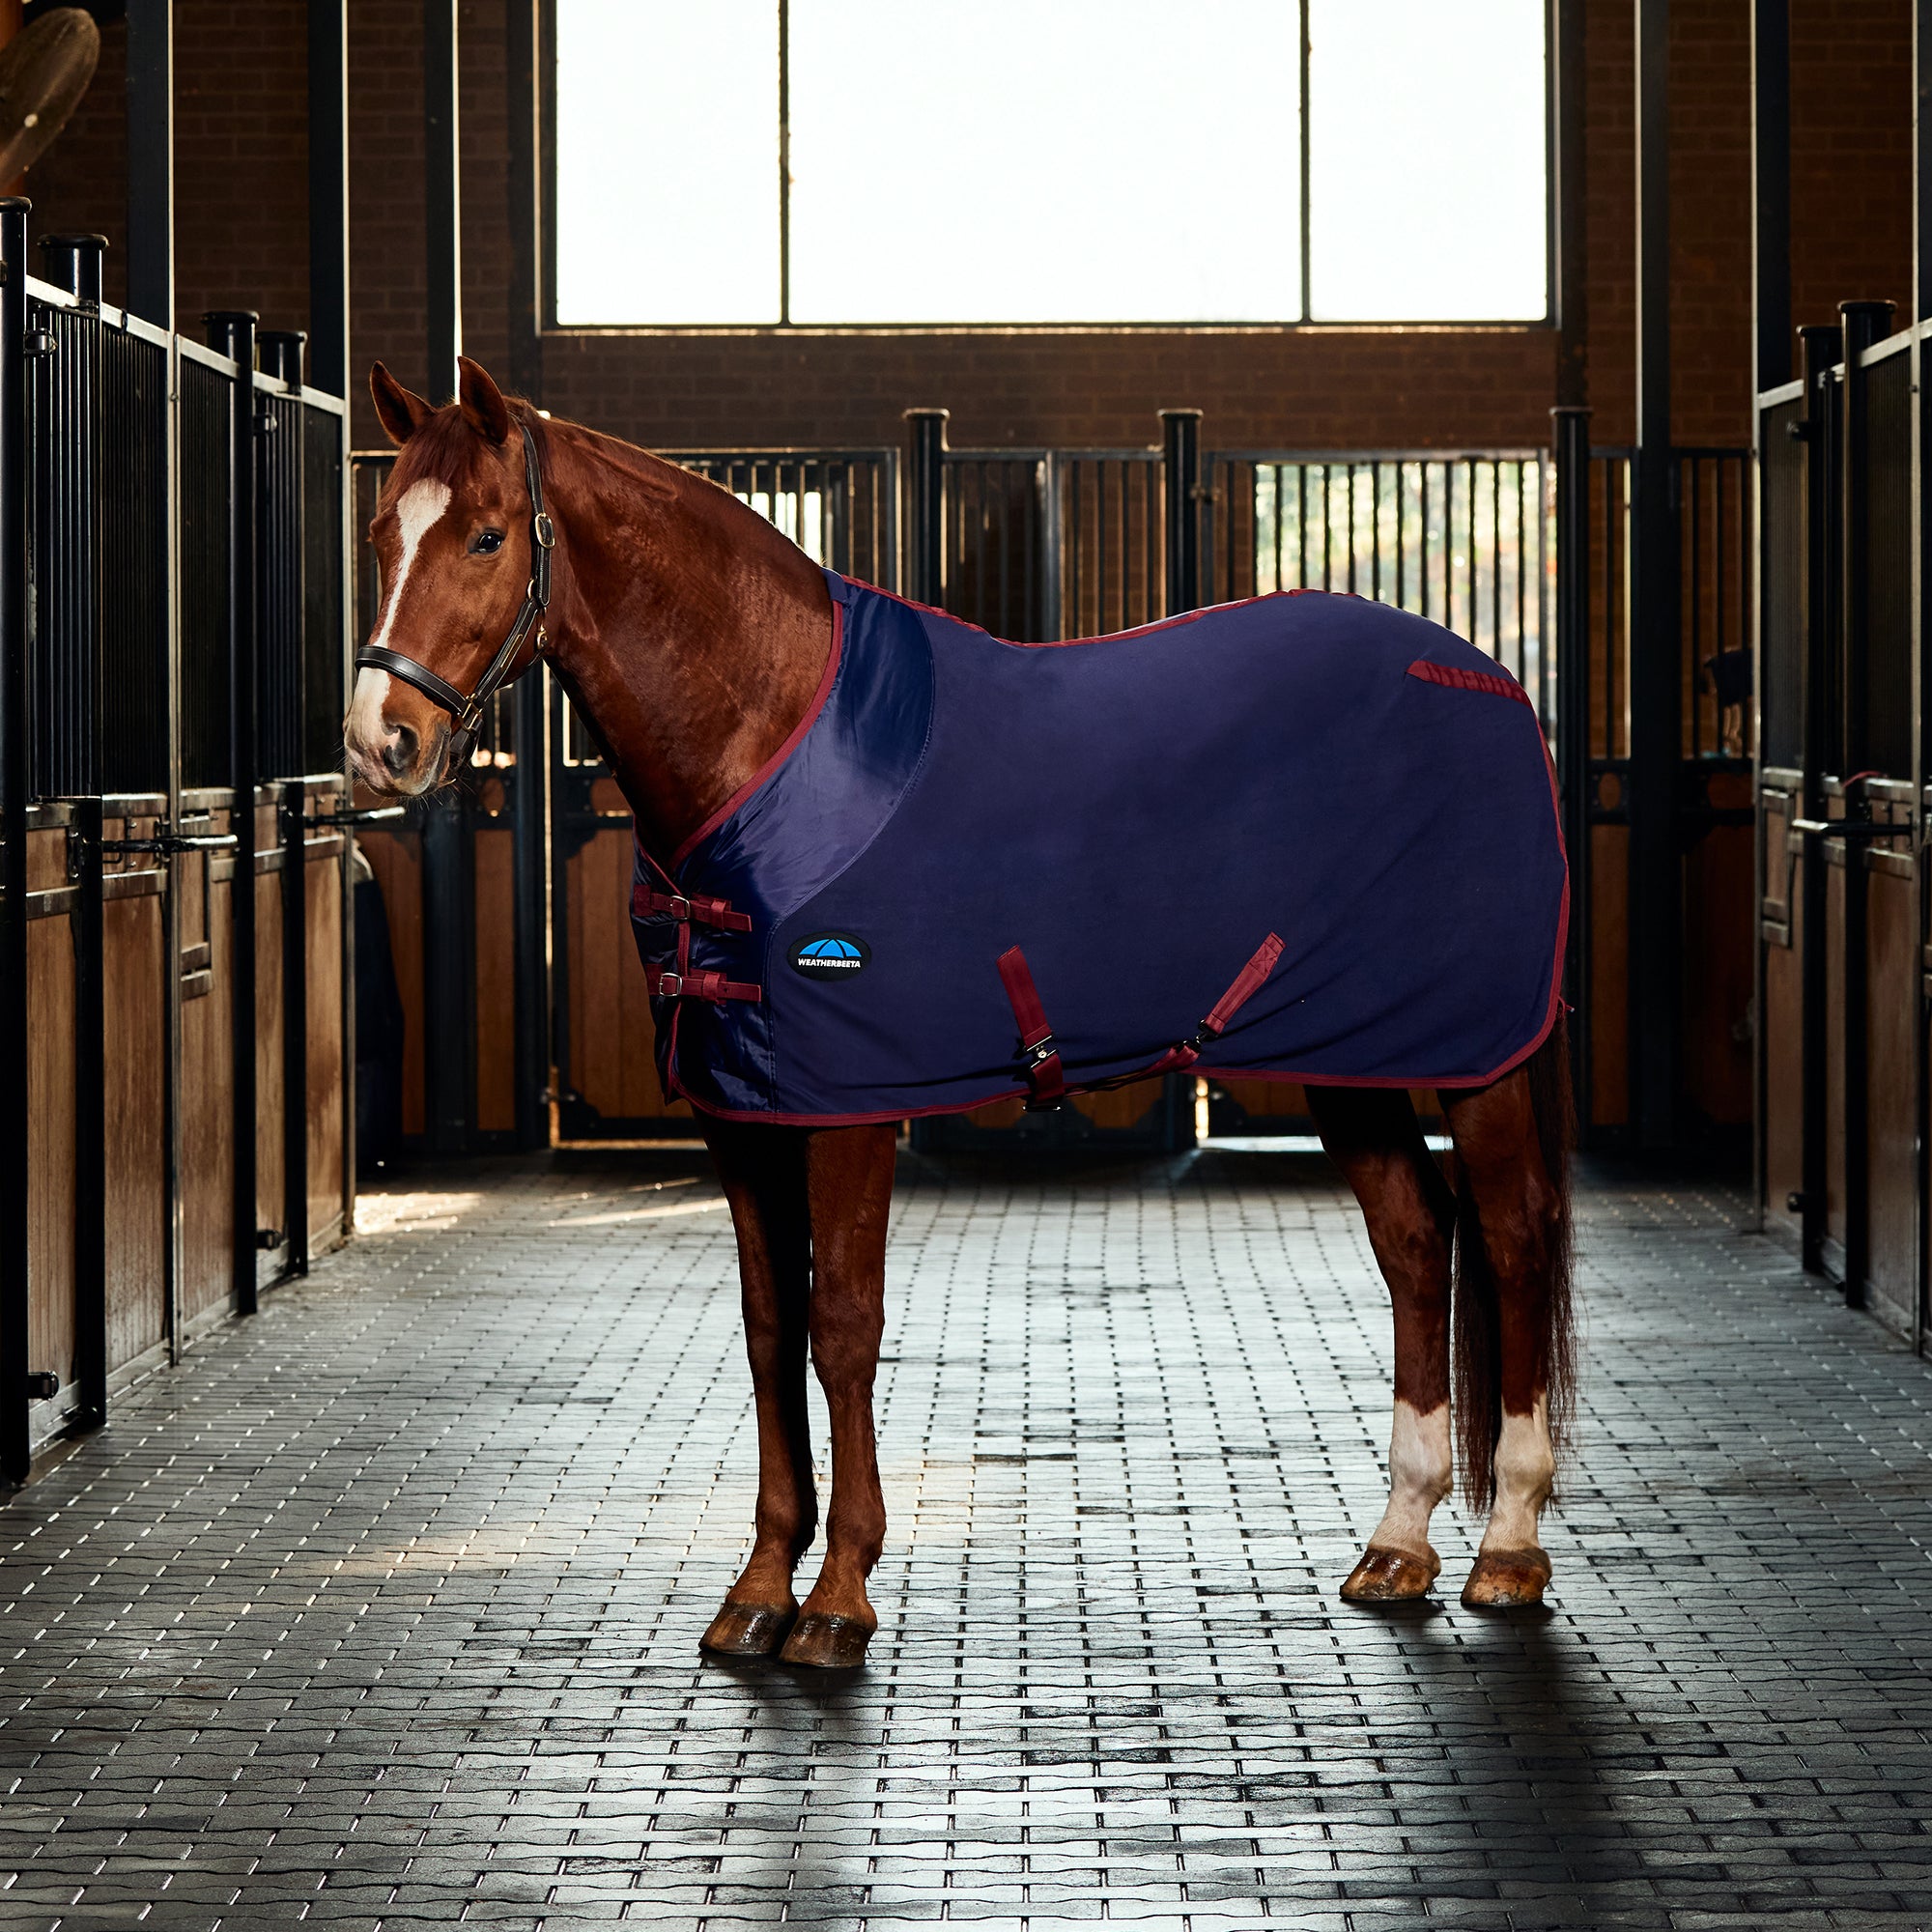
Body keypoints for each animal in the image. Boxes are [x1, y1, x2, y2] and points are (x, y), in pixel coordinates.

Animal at [343, 356, 1577, 1670]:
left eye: (484, 536)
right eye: (378, 533)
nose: (381, 742)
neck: (767, 740)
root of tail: (1491, 683)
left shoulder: (845, 1107)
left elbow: (840, 1324)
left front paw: (837, 1596)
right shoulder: (739, 1111)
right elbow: (768, 1326)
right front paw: (758, 1586)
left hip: (1475, 1055)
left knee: (1509, 1236)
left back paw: (1507, 1547)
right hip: (1353, 1057)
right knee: (1414, 1240)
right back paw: (1396, 1544)